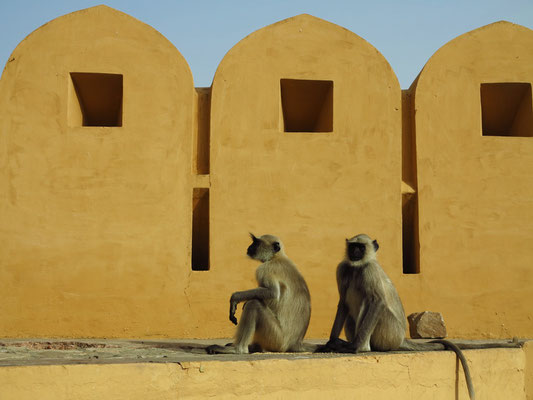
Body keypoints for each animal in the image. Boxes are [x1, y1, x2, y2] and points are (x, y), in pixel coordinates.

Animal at [316, 234, 474, 400]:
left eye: (361, 247)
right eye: (353, 247)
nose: (355, 253)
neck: (357, 267)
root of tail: (401, 338)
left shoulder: (370, 270)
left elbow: (378, 301)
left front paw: (355, 347)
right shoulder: (342, 269)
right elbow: (343, 303)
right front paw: (331, 342)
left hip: (390, 333)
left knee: (373, 302)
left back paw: (362, 347)